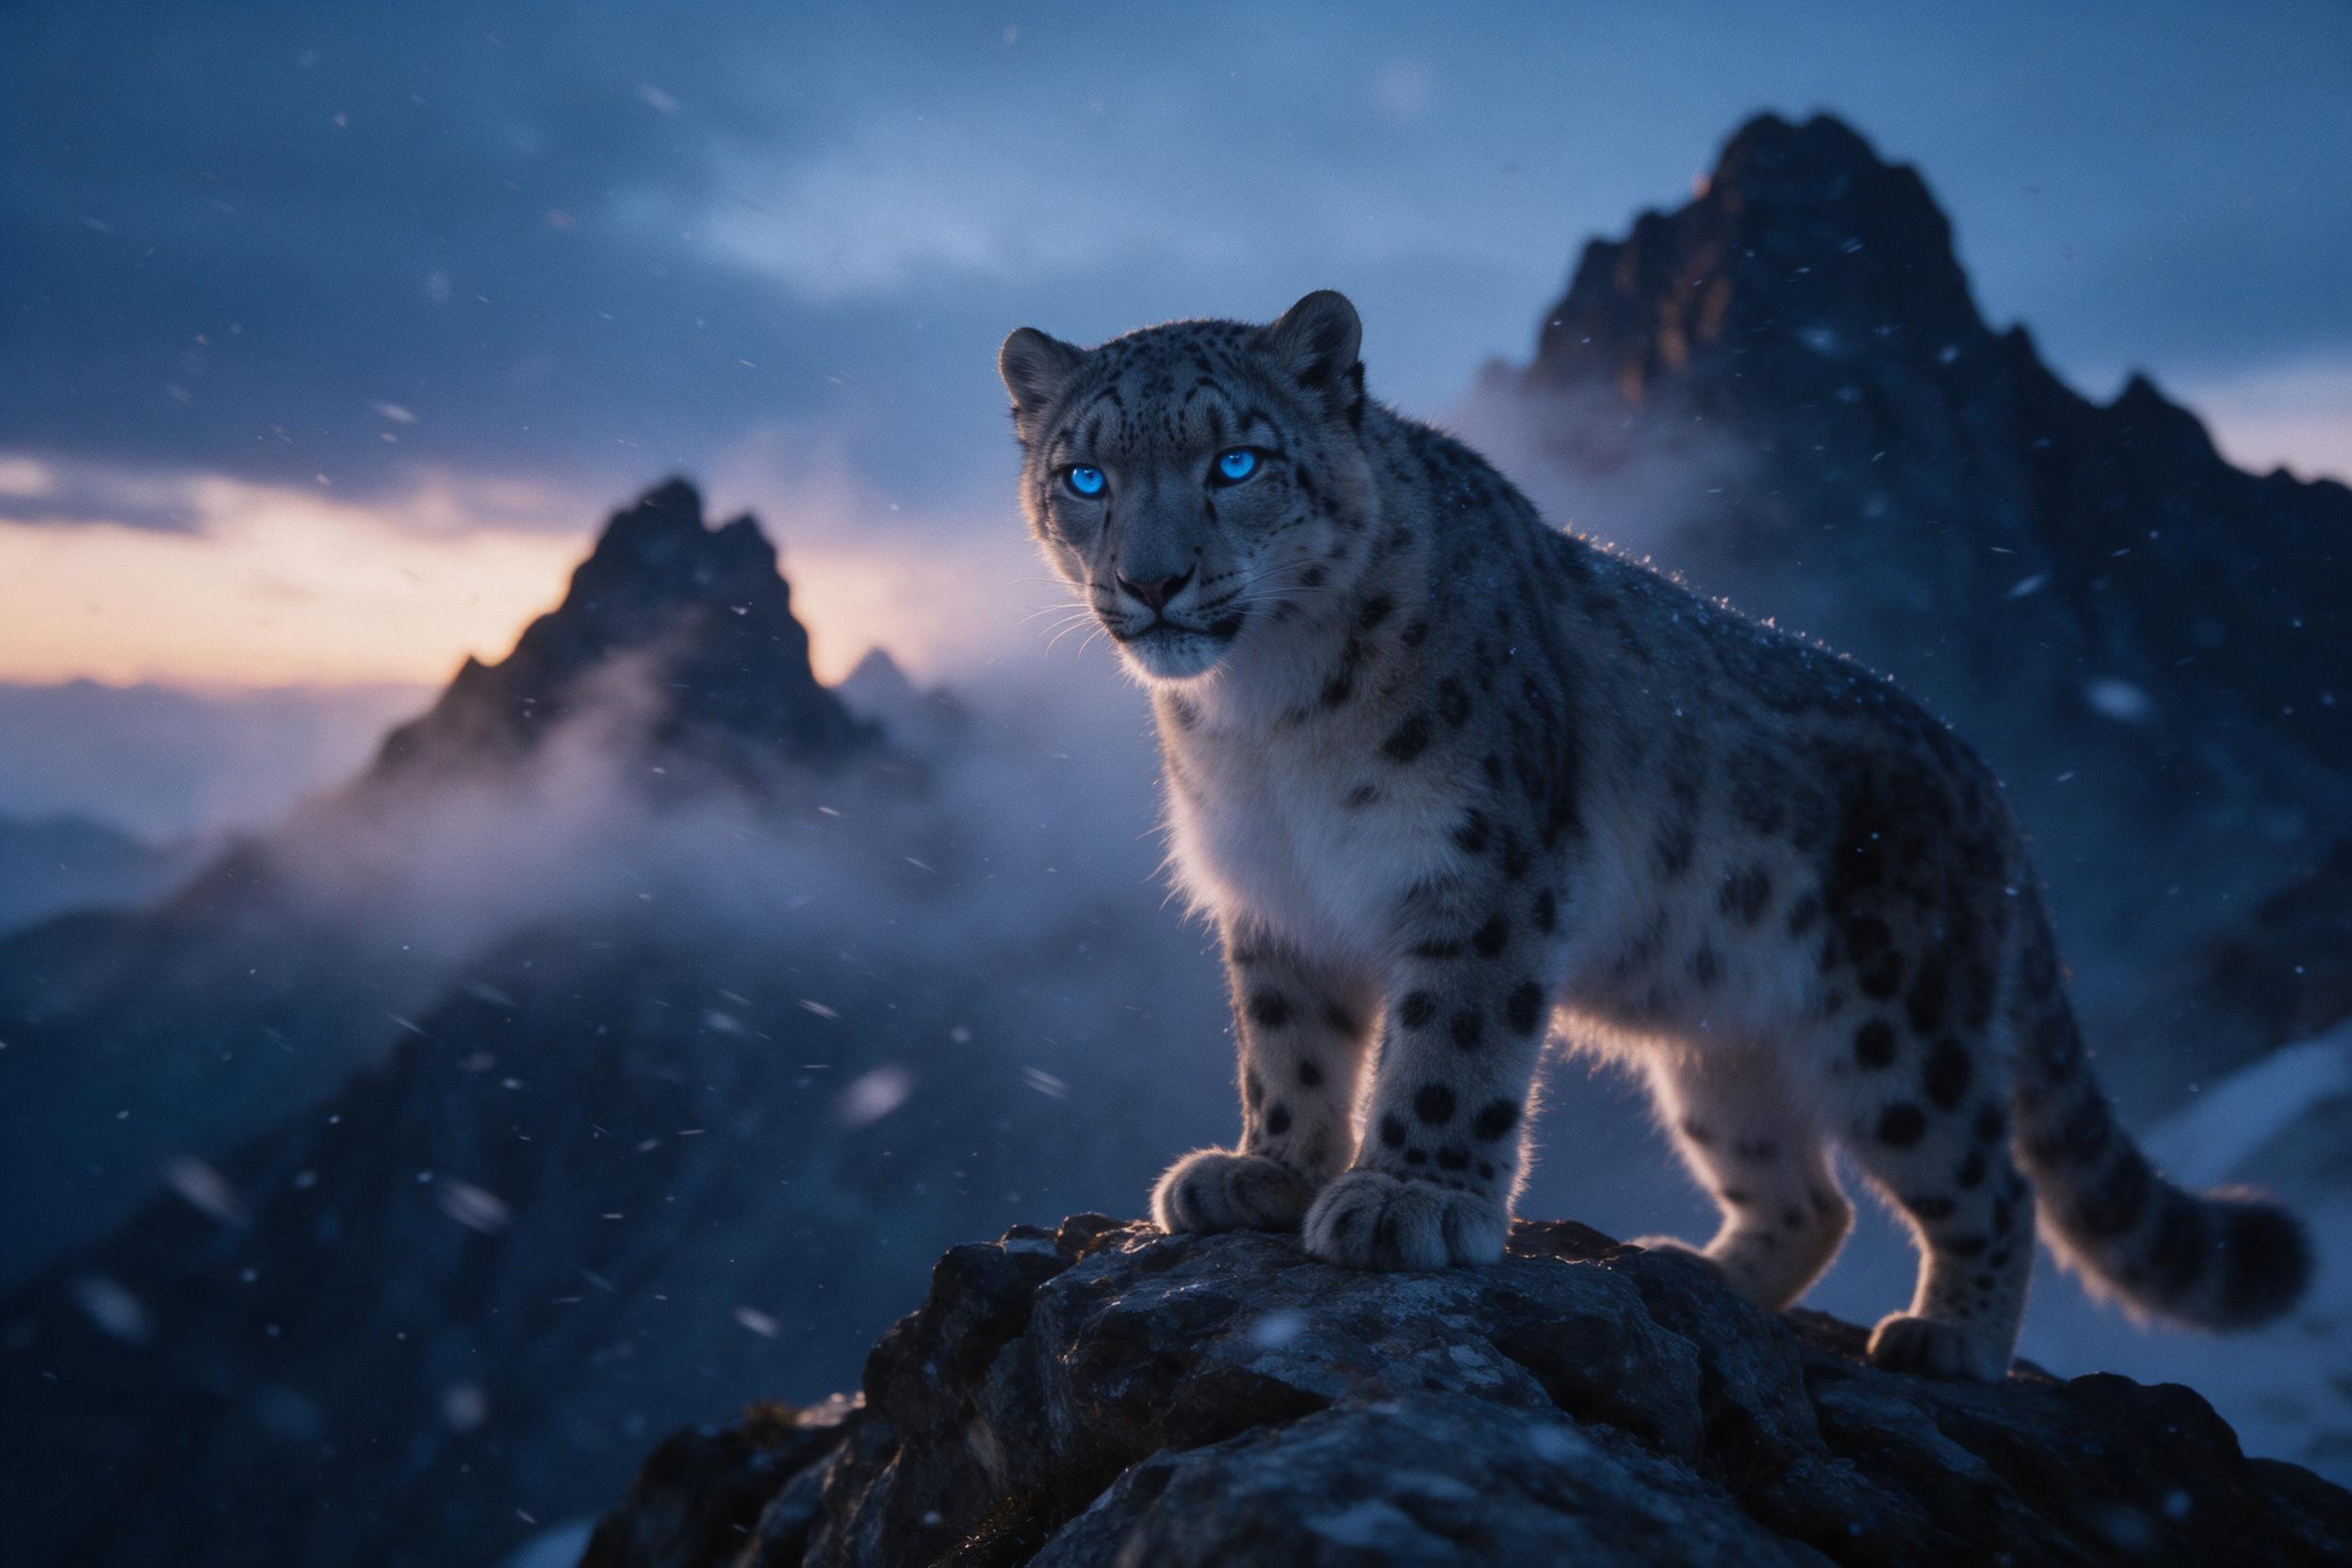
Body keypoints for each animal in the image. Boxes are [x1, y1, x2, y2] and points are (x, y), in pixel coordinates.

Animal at [996, 289, 2309, 1379]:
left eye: (1237, 460)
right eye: (1087, 477)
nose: (1154, 582)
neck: (1263, 719)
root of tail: (1996, 795)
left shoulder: (1479, 868)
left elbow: (1449, 1042)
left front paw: (1409, 1196)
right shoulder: (1273, 894)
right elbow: (1287, 1046)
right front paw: (1264, 1169)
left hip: (1899, 1022)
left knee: (1987, 1179)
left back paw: (1949, 1338)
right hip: (1719, 1052)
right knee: (1806, 1194)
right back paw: (1692, 1271)